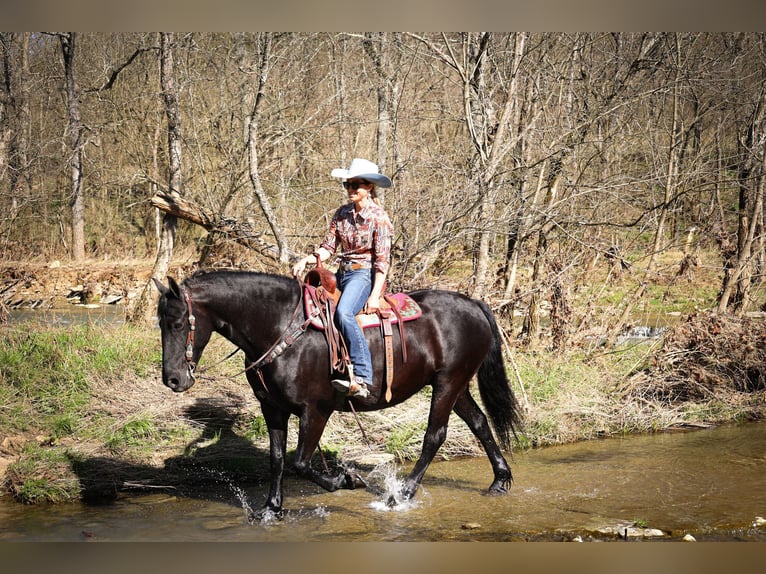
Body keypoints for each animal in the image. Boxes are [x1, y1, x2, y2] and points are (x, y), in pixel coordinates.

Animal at [154, 272, 528, 520]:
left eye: (178, 324)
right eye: (160, 324)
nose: (172, 379)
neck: (279, 328)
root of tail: (474, 304)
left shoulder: (316, 410)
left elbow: (301, 463)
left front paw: (346, 479)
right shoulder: (272, 408)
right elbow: (277, 459)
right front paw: (271, 509)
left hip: (448, 383)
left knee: (435, 435)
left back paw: (402, 494)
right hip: (456, 385)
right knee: (480, 423)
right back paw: (500, 480)